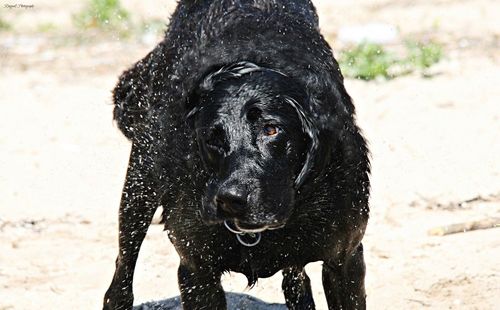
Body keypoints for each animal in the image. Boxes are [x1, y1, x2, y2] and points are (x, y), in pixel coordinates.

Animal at [103, 0, 370, 310]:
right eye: (213, 139)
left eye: (271, 129)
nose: (231, 199)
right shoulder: (197, 272)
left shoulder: (345, 259)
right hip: (140, 184)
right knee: (122, 275)